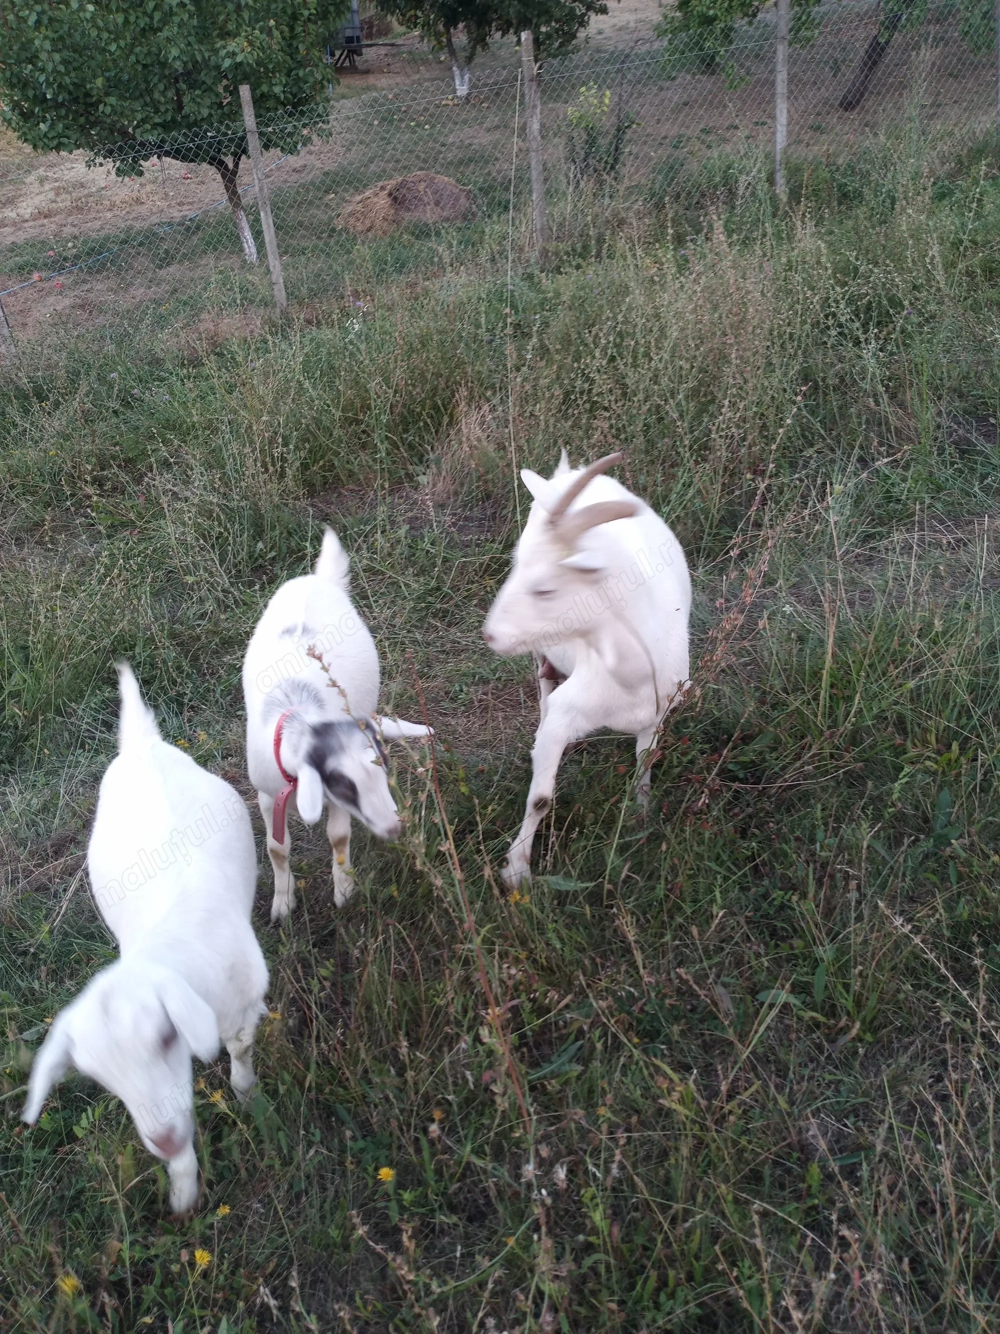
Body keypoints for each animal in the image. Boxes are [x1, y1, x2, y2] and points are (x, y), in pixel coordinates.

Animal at [23, 664, 269, 1215]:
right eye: (98, 1077)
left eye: (165, 1037)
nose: (165, 1139)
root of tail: (141, 743)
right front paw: (182, 1190)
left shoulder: (243, 1001)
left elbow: (241, 1052)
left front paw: (248, 1097)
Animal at [243, 526, 431, 921]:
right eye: (344, 785)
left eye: (383, 771)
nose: (395, 827)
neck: (300, 718)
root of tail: (318, 578)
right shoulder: (268, 795)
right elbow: (276, 848)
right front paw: (283, 903)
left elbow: (338, 837)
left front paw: (344, 889)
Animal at [482, 452, 691, 885]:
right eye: (516, 565)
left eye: (545, 589)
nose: (490, 634)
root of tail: (568, 473)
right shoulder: (567, 715)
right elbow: (540, 798)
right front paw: (517, 870)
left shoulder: (658, 712)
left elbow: (645, 762)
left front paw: (641, 816)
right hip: (542, 657)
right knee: (544, 685)